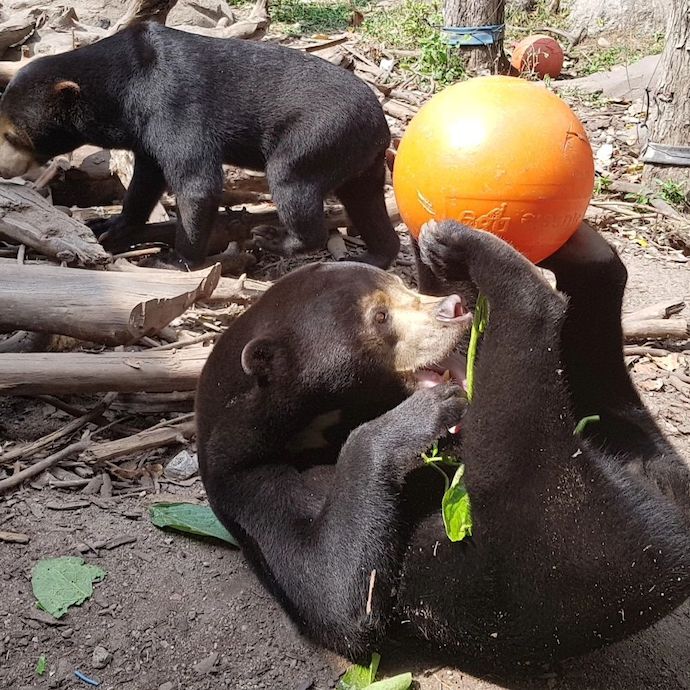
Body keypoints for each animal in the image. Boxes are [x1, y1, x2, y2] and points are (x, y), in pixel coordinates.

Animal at [0, 22, 398, 268]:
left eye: (13, 136)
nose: (3, 168)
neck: (122, 88)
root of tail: (381, 124)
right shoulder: (146, 133)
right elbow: (146, 180)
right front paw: (108, 226)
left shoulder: (171, 105)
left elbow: (197, 183)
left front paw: (176, 261)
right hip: (358, 159)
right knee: (366, 202)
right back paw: (375, 256)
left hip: (317, 136)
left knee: (290, 182)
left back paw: (273, 238)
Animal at [195, 219, 688, 668]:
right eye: (380, 317)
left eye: (402, 287)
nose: (453, 308)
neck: (314, 429)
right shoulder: (247, 486)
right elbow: (331, 590)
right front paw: (423, 414)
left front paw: (436, 255)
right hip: (563, 533)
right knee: (526, 414)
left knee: (596, 378)